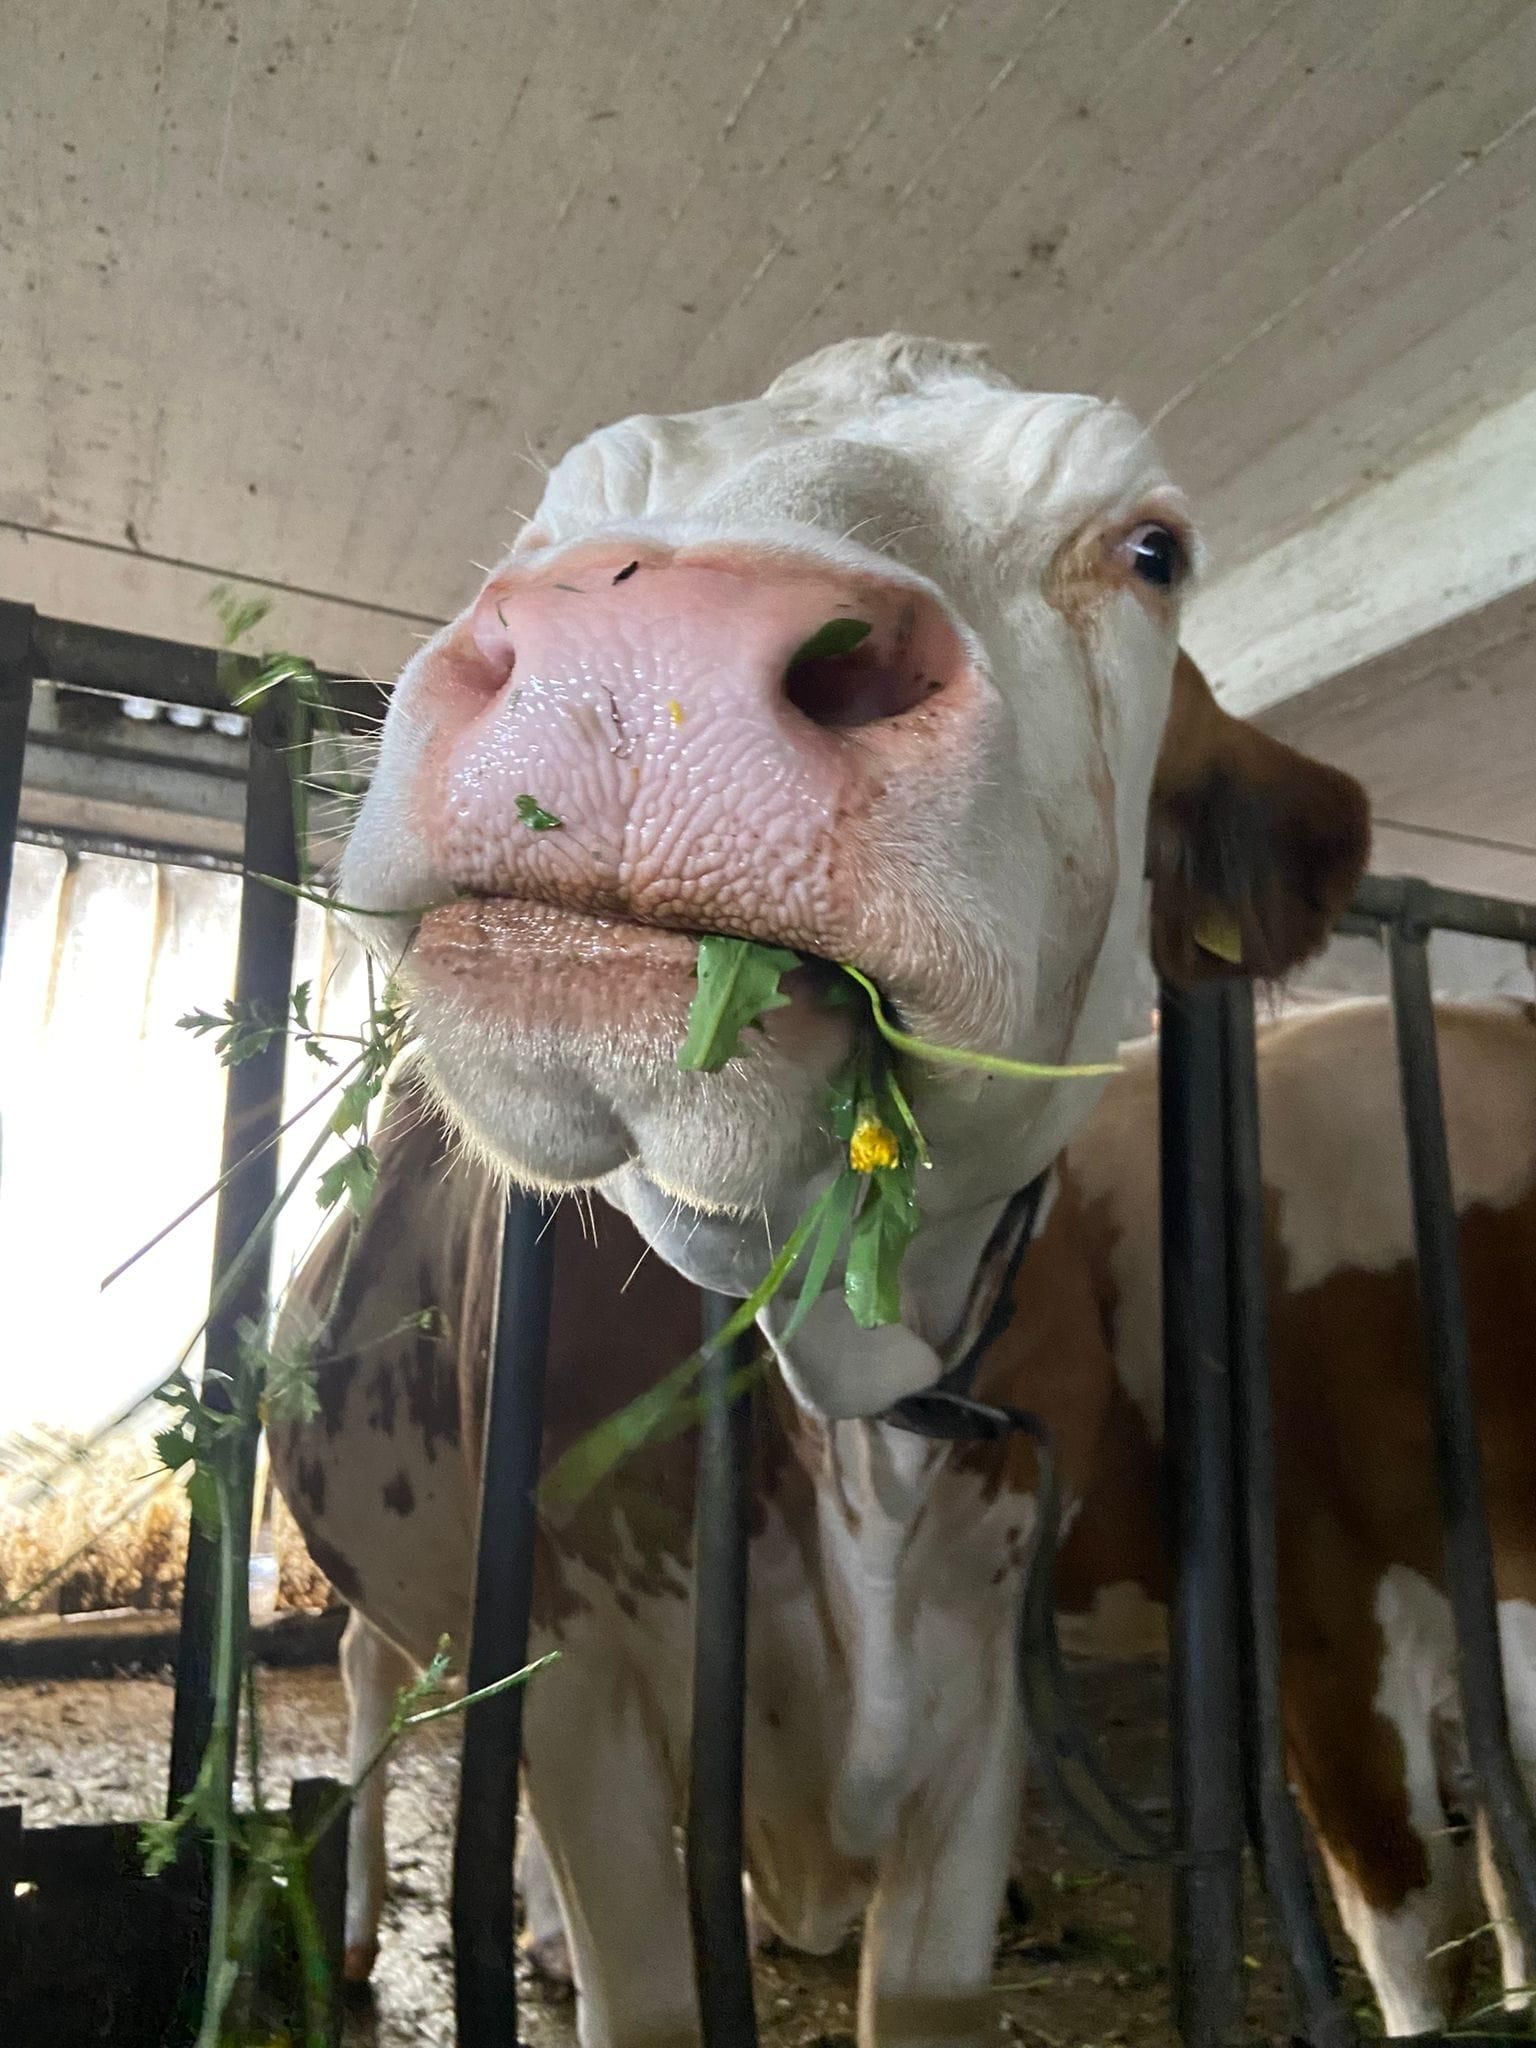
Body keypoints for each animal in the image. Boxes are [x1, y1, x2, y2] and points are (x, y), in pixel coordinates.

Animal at [307, 333, 1369, 2045]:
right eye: (554, 511)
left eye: (1154, 551)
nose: (649, 643)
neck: (853, 1380)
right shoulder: (580, 1683)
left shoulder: (983, 1696)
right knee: (360, 1678)